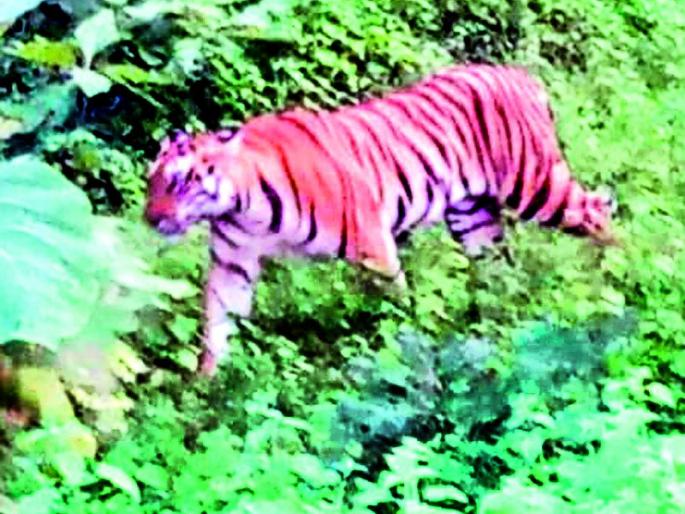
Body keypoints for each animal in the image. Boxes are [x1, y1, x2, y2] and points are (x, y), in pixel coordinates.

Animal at [144, 64, 617, 376]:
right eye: (152, 182)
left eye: (179, 182)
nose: (149, 219)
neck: (245, 208)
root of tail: (519, 73)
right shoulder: (232, 264)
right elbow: (217, 327)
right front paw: (207, 390)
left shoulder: (372, 246)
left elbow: (396, 308)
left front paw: (403, 352)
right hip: (473, 216)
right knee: (501, 270)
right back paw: (500, 315)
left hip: (536, 185)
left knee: (598, 211)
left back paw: (618, 280)